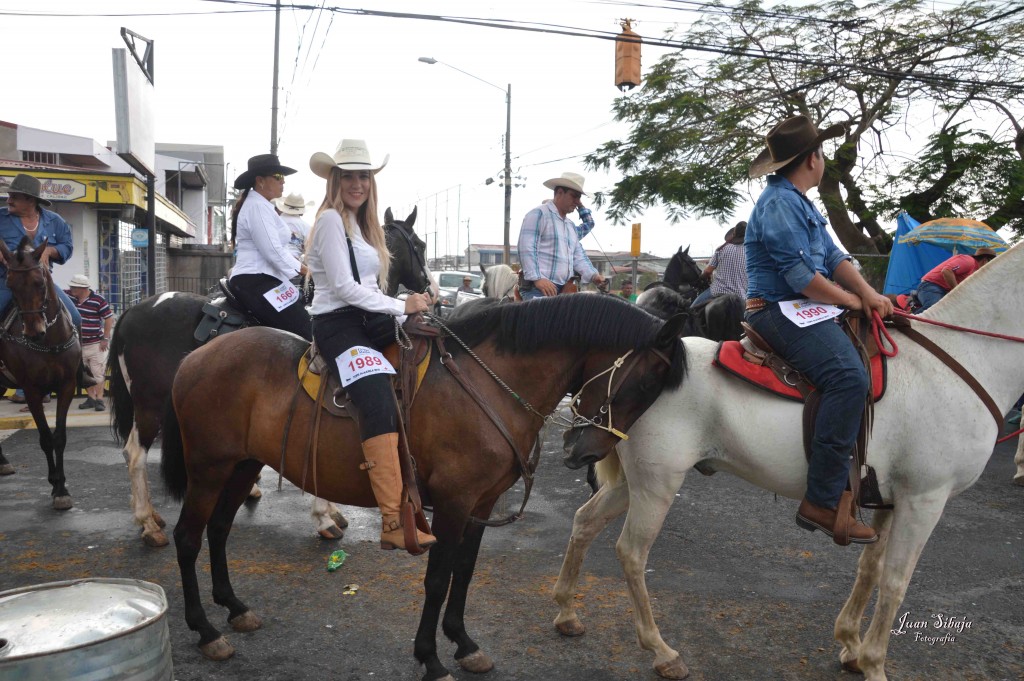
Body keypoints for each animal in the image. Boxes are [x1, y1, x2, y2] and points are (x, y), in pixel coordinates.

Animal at [0, 236, 81, 507]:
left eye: (39, 282)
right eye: (10, 285)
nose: (34, 331)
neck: (49, 342)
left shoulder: (66, 386)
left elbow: (59, 437)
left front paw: (61, 487)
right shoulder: (32, 390)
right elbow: (45, 437)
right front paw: (56, 484)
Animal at [109, 204, 432, 544]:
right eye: (420, 245)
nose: (431, 289)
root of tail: (133, 311)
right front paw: (324, 516)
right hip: (150, 405)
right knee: (135, 454)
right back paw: (147, 522)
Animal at [159, 296, 684, 679]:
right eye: (642, 385)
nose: (587, 451)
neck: (485, 386)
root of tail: (193, 357)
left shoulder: (481, 503)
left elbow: (464, 573)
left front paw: (464, 644)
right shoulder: (452, 503)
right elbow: (436, 578)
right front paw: (430, 658)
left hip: (241, 465)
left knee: (219, 530)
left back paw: (233, 607)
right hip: (209, 467)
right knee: (188, 538)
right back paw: (205, 630)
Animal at [557, 238, 1024, 679]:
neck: (958, 359)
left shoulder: (891, 500)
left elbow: (870, 569)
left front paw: (851, 647)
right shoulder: (924, 500)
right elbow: (895, 581)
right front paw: (874, 663)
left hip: (633, 481)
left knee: (585, 521)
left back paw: (566, 612)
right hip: (657, 482)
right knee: (632, 553)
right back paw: (661, 651)